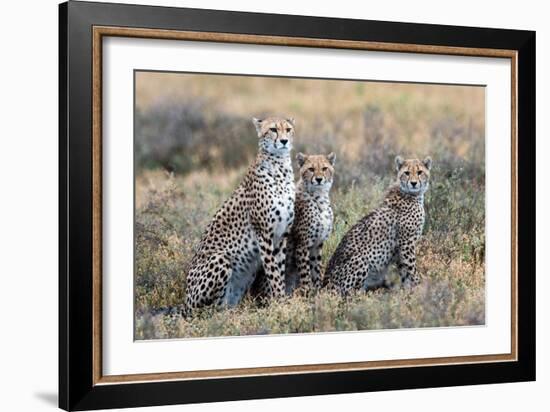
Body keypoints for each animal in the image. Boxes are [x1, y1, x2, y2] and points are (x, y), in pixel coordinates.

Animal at [185, 115, 298, 308]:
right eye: (273, 129)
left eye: (288, 129)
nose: (284, 141)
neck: (280, 167)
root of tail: (184, 302)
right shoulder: (264, 234)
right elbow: (273, 273)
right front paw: (280, 302)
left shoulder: (282, 235)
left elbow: (279, 270)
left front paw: (280, 298)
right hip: (220, 258)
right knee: (209, 309)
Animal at [284, 152, 336, 292]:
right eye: (311, 169)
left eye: (324, 168)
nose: (319, 179)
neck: (319, 197)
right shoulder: (303, 244)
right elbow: (305, 273)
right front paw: (308, 293)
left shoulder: (317, 244)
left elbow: (316, 269)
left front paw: (317, 291)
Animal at [326, 156, 434, 294]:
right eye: (407, 173)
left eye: (420, 172)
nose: (413, 183)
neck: (410, 194)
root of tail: (323, 286)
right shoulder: (406, 243)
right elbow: (412, 268)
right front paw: (419, 287)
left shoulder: (400, 249)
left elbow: (404, 271)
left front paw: (407, 291)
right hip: (361, 259)